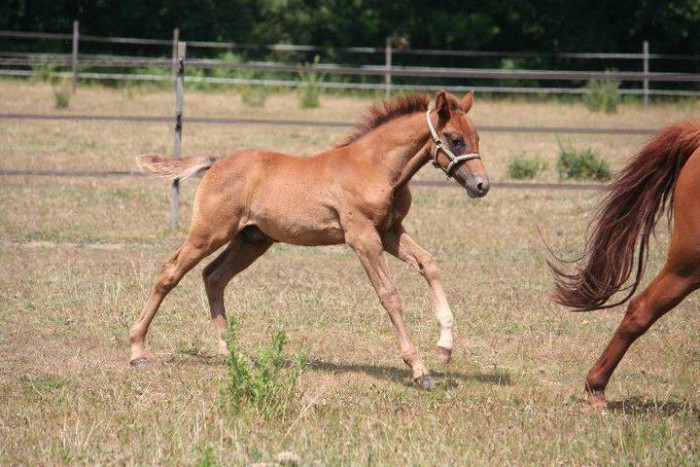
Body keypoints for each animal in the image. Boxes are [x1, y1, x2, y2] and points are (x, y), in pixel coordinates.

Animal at [129, 90, 490, 388]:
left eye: (476, 138)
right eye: (455, 139)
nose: (481, 185)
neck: (376, 168)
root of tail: (216, 163)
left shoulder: (390, 232)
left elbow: (428, 263)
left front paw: (444, 348)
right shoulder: (362, 237)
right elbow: (390, 295)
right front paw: (420, 370)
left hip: (252, 240)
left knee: (214, 277)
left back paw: (233, 353)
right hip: (210, 232)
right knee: (171, 272)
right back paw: (137, 351)